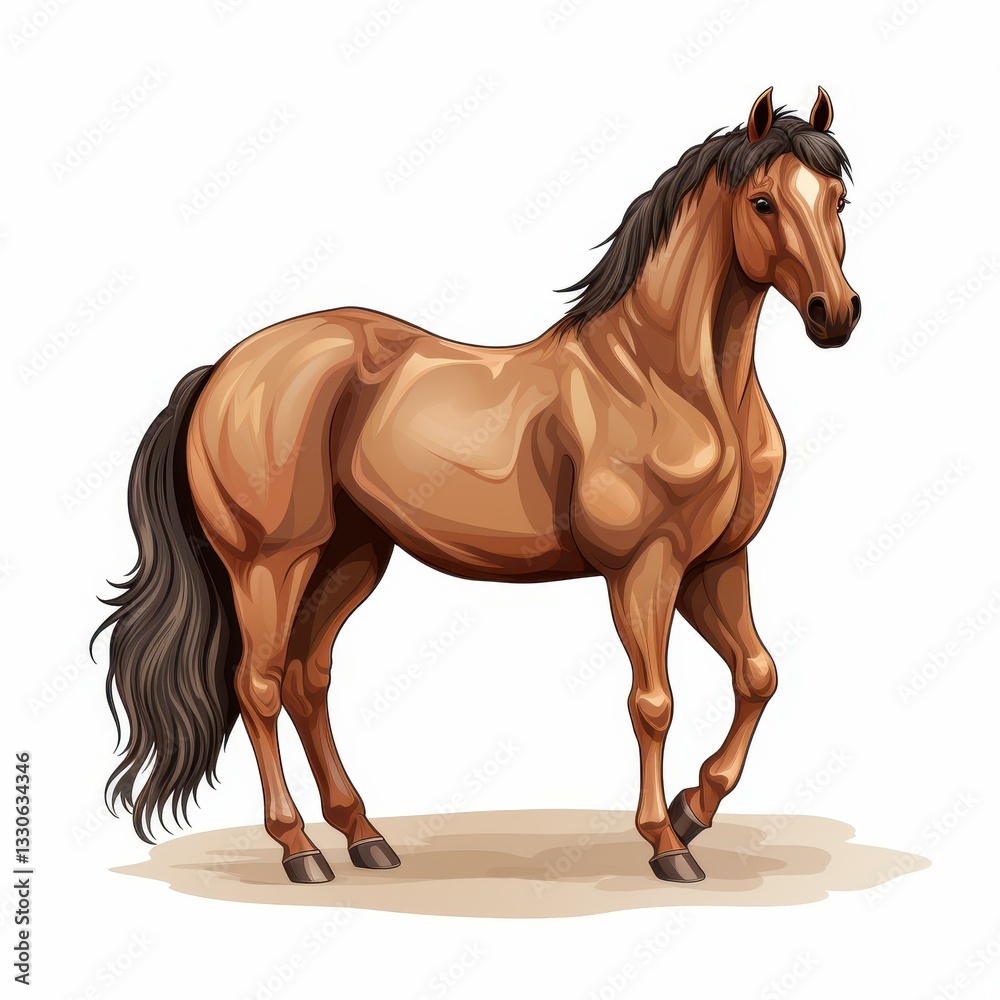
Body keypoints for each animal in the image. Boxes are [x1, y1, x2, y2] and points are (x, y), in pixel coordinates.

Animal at [95, 87, 861, 884]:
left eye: (838, 198)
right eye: (764, 202)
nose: (835, 314)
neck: (662, 379)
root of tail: (222, 370)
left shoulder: (715, 562)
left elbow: (757, 675)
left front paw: (693, 808)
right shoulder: (644, 567)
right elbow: (653, 702)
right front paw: (666, 843)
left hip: (350, 556)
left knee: (307, 679)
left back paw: (364, 836)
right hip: (269, 563)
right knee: (260, 684)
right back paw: (300, 849)